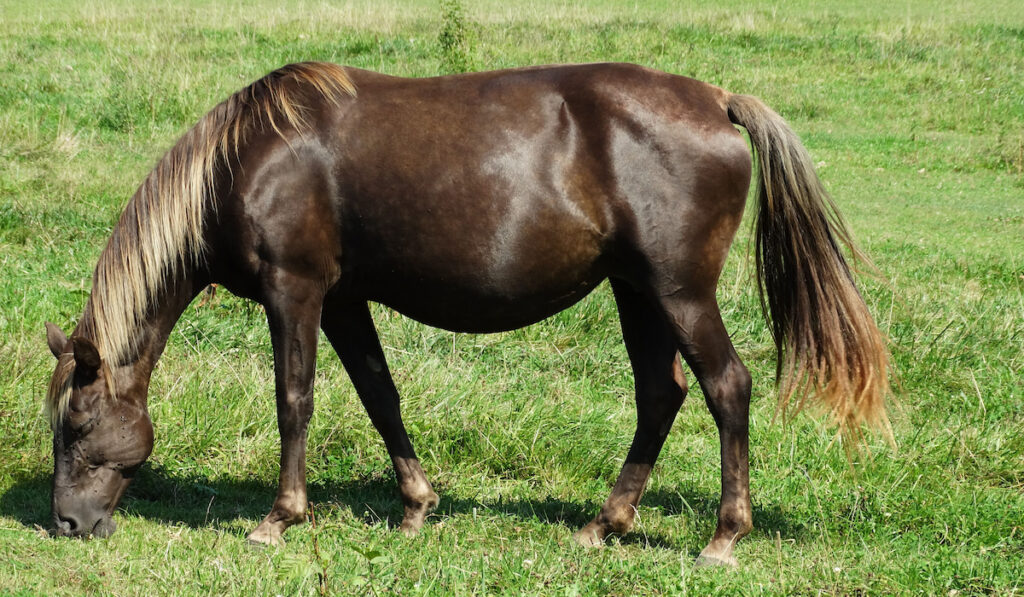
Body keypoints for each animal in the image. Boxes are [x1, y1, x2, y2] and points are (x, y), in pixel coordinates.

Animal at [41, 62, 888, 569]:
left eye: (77, 425)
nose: (67, 524)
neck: (252, 157)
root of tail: (716, 101)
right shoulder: (345, 299)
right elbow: (380, 396)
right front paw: (416, 507)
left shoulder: (297, 290)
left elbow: (294, 400)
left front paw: (280, 517)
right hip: (636, 291)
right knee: (661, 394)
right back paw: (605, 522)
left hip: (678, 290)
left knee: (726, 387)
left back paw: (722, 533)